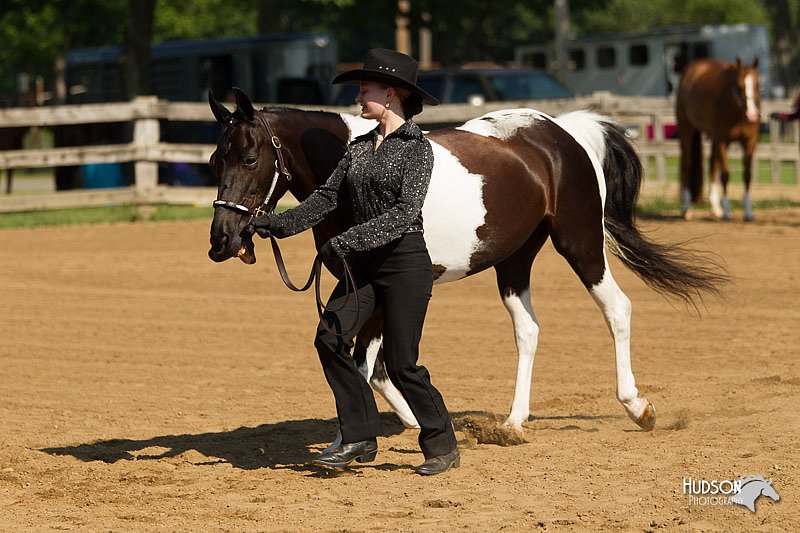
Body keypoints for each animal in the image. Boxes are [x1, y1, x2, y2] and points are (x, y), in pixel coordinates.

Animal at [206, 88, 724, 448]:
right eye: (214, 159)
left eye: (249, 158)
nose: (222, 241)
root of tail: (562, 132)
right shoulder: (362, 287)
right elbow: (371, 365)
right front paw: (395, 427)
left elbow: (366, 362)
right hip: (514, 260)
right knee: (528, 330)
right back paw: (513, 423)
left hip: (580, 244)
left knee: (617, 308)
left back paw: (638, 408)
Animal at [676, 55, 764, 218]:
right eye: (738, 86)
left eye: (758, 83)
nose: (752, 114)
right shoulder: (723, 141)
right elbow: (725, 175)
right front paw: (727, 212)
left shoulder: (749, 142)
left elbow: (747, 175)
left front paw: (748, 212)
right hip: (687, 129)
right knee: (687, 164)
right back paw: (686, 208)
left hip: (714, 138)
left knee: (712, 165)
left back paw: (715, 208)